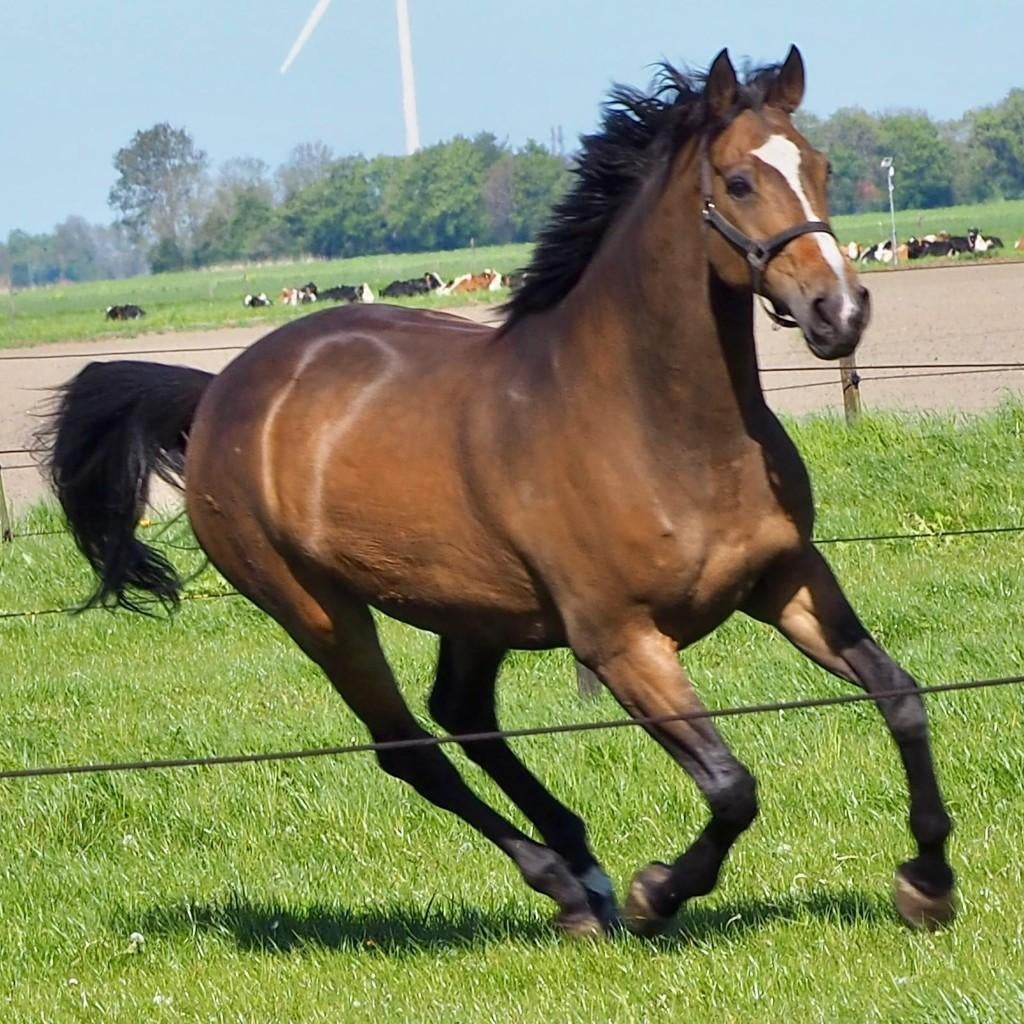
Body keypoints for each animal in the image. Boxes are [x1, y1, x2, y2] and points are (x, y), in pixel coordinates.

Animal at [41, 46, 953, 938]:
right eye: (737, 182)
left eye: (820, 166)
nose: (839, 310)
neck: (662, 427)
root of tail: (218, 394)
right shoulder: (621, 641)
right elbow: (732, 786)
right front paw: (659, 890)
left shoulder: (788, 580)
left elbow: (901, 696)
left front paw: (927, 882)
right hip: (317, 612)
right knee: (410, 748)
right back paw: (566, 884)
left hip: (472, 608)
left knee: (463, 713)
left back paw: (582, 871)